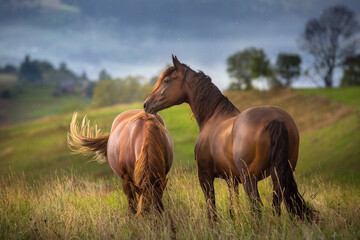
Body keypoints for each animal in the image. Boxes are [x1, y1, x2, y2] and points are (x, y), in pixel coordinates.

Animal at [145, 55, 314, 222]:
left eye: (166, 80)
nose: (147, 104)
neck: (213, 117)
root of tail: (276, 119)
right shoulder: (232, 180)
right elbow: (233, 209)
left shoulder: (205, 177)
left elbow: (212, 211)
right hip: (278, 177)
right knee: (276, 205)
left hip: (250, 180)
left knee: (257, 207)